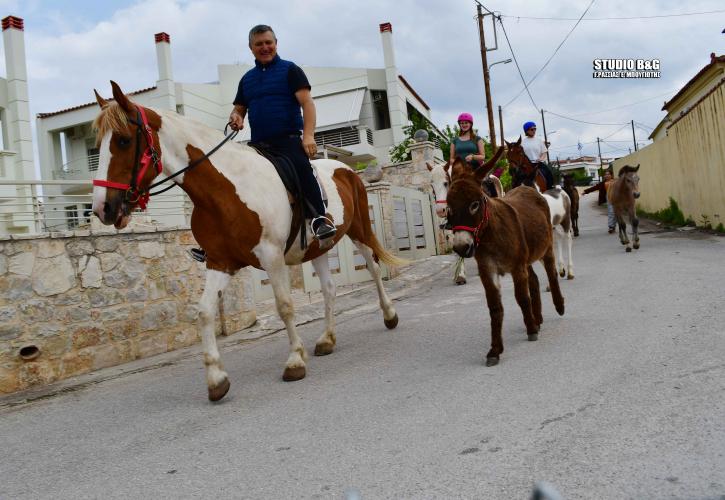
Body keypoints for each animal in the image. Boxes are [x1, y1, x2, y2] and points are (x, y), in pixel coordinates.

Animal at [90, 82, 402, 402]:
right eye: (98, 145)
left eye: (124, 141)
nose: (103, 208)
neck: (225, 190)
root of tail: (347, 169)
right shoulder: (220, 263)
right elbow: (204, 313)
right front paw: (216, 379)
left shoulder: (271, 256)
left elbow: (284, 305)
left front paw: (295, 361)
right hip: (319, 247)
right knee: (329, 288)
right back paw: (327, 339)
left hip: (359, 231)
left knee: (374, 267)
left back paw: (389, 315)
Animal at [444, 160, 564, 368]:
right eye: (449, 207)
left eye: (474, 204)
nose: (461, 248)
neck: (490, 234)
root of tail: (526, 188)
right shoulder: (488, 271)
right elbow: (495, 308)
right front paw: (495, 350)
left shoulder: (517, 268)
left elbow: (522, 298)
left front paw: (531, 330)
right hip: (527, 259)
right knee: (534, 280)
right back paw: (538, 317)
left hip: (545, 248)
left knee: (551, 273)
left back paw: (558, 307)